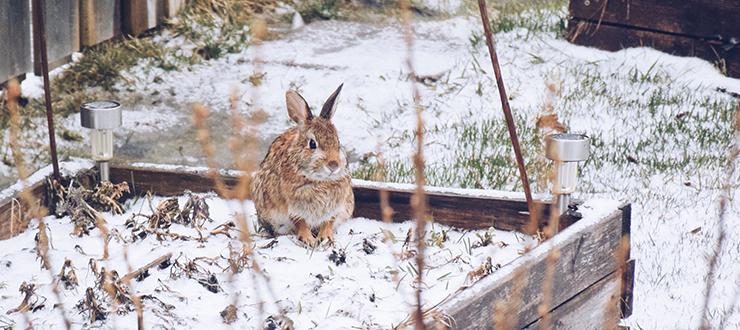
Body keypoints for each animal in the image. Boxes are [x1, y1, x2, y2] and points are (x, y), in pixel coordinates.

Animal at [251, 84, 356, 246]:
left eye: (338, 143)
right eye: (312, 144)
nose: (333, 165)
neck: (319, 180)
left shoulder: (336, 207)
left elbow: (328, 222)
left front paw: (326, 238)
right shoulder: (293, 208)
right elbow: (300, 222)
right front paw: (308, 240)